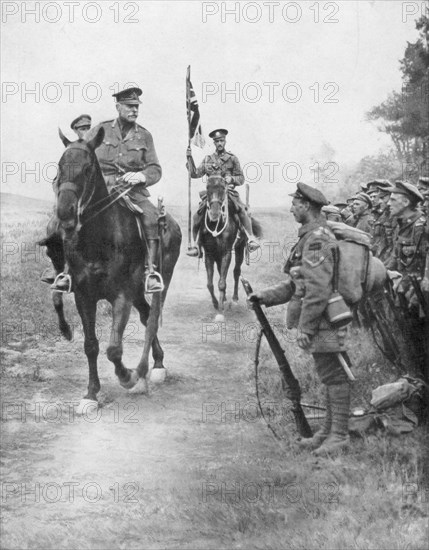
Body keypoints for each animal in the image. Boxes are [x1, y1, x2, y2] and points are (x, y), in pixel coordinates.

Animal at [43, 127, 182, 408]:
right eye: (60, 167)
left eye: (87, 168)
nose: (65, 213)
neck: (98, 239)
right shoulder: (85, 297)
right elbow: (91, 345)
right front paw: (91, 394)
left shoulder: (122, 296)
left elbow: (114, 349)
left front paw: (128, 376)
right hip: (138, 292)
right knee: (146, 315)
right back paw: (156, 362)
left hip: (159, 280)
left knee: (152, 319)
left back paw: (151, 370)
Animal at [198, 179, 260, 322]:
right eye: (207, 188)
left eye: (223, 189)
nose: (214, 214)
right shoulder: (209, 254)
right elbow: (210, 283)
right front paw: (216, 304)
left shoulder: (226, 253)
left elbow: (222, 283)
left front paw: (220, 312)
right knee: (221, 271)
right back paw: (225, 298)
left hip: (239, 248)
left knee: (236, 271)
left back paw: (234, 299)